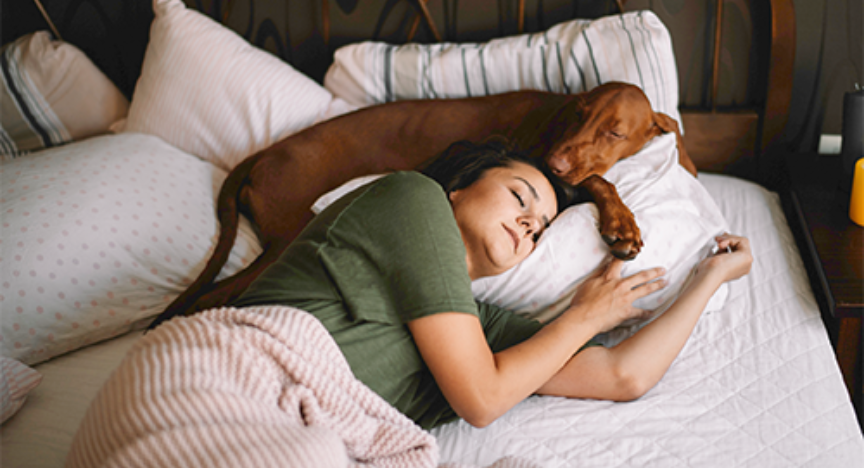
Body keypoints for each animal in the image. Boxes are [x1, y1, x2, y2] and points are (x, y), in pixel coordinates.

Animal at [152, 80, 700, 328]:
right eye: (579, 114)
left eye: (614, 132)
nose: (555, 162)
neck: (554, 116)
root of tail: (264, 153)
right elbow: (601, 182)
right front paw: (622, 224)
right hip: (286, 239)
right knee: (213, 295)